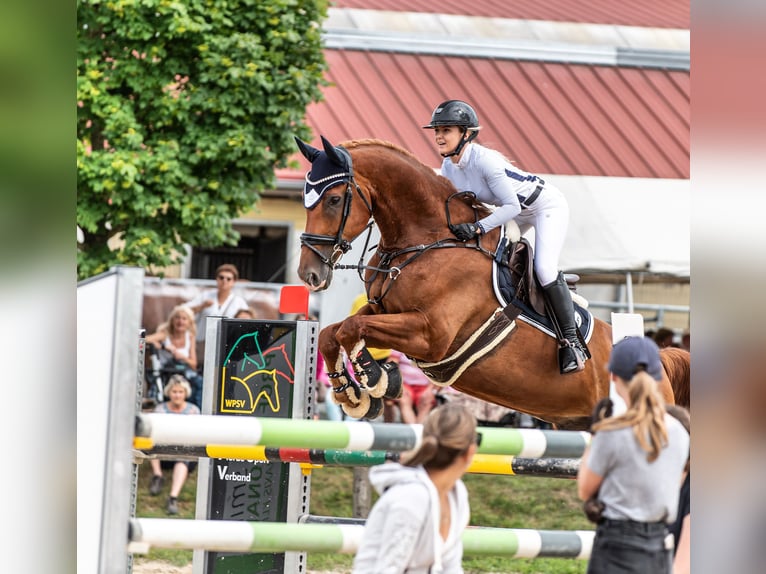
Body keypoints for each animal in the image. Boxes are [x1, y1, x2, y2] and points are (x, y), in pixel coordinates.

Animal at [296, 137, 688, 430]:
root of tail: (661, 359)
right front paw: (352, 394)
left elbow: (352, 329)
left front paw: (376, 378)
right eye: (305, 200)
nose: (308, 275)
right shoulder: (385, 311)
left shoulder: (430, 335)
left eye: (334, 199)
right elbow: (334, 331)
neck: (429, 240)